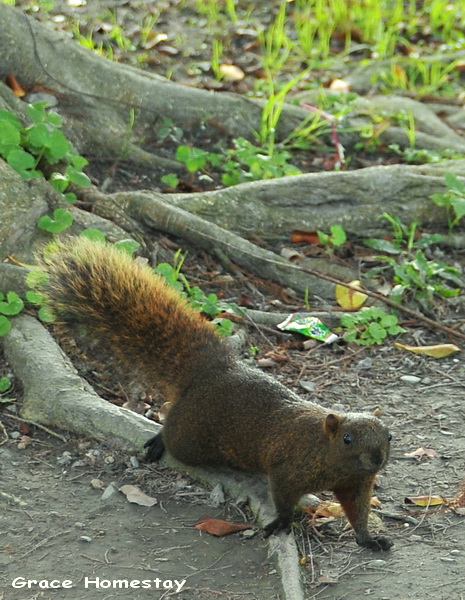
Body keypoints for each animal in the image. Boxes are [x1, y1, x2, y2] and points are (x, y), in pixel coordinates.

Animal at [40, 238, 392, 548]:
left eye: (389, 436)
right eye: (347, 439)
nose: (377, 459)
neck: (327, 454)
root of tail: (213, 372)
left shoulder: (356, 484)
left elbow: (357, 510)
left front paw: (368, 538)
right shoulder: (288, 468)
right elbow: (282, 496)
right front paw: (281, 520)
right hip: (192, 438)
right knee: (174, 431)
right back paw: (160, 439)